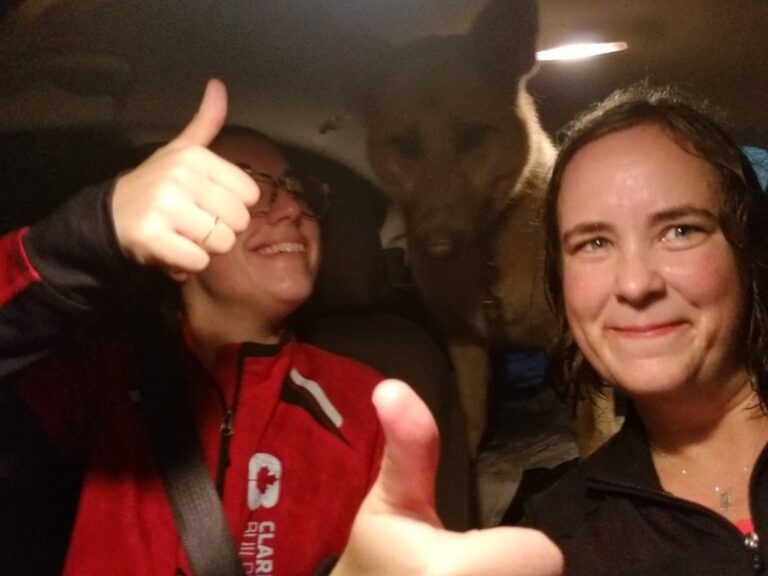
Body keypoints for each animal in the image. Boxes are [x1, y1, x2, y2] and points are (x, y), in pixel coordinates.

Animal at [364, 0, 616, 460]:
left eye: (472, 136)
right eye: (403, 146)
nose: (436, 246)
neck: (488, 253)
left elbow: (592, 425)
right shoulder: (466, 342)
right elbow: (471, 416)